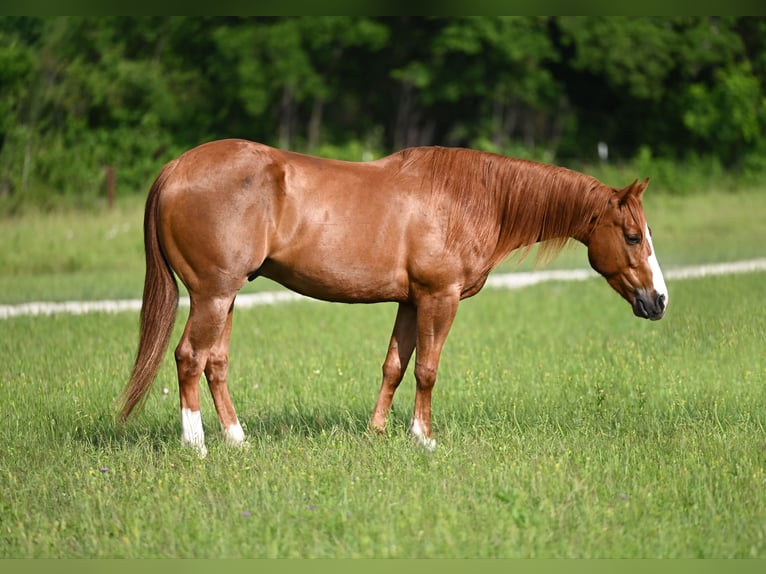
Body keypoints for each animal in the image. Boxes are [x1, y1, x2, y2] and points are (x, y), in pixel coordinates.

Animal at [117, 137, 668, 456]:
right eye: (633, 236)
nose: (658, 301)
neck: (467, 197)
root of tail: (174, 168)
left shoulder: (410, 301)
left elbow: (395, 367)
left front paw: (377, 433)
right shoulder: (439, 298)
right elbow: (427, 369)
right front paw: (423, 438)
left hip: (227, 297)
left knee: (216, 363)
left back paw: (238, 440)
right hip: (212, 295)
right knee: (189, 357)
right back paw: (197, 446)